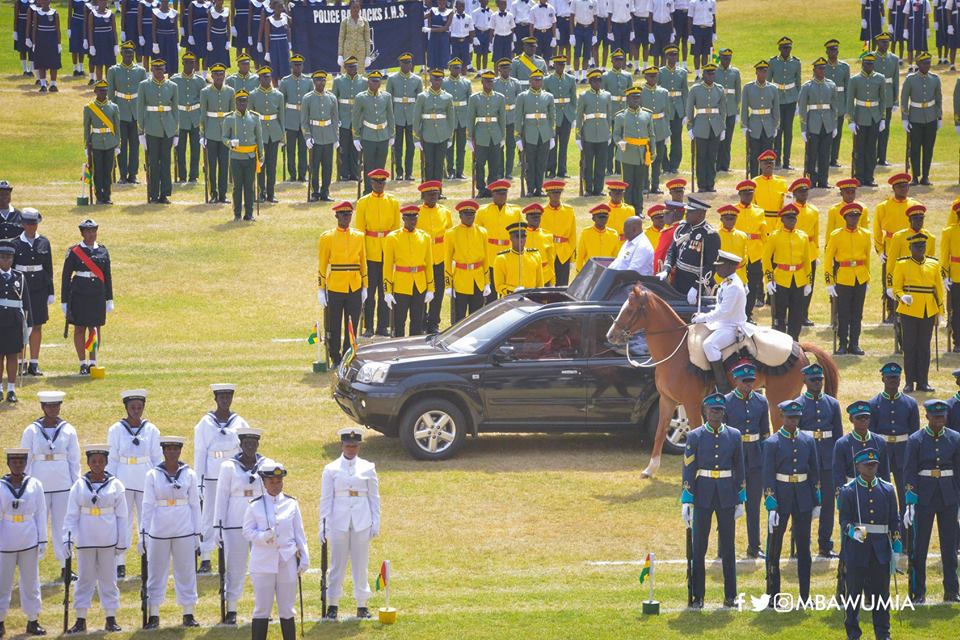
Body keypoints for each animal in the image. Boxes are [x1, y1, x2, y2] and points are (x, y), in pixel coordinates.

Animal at [608, 288, 840, 478]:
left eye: (630, 309)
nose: (611, 335)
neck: (676, 351)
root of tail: (798, 347)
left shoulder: (691, 403)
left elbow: (693, 431)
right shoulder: (667, 400)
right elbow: (659, 432)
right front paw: (650, 469)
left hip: (777, 401)